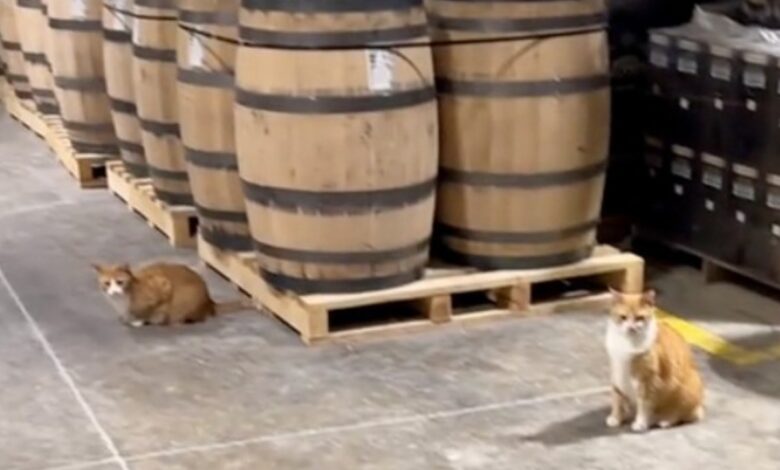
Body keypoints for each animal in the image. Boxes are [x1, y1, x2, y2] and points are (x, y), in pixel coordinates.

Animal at [92, 262, 248, 327]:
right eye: (107, 283)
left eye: (120, 282)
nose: (114, 292)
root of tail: (209, 300)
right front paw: (127, 318)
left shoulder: (163, 286)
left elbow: (152, 312)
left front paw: (140, 320)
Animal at [605, 289, 705, 432]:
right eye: (623, 317)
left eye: (639, 318)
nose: (631, 328)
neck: (628, 342)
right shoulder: (617, 373)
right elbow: (617, 399)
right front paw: (616, 418)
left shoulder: (647, 381)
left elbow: (643, 404)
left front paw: (640, 423)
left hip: (688, 389)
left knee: (682, 415)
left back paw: (665, 421)